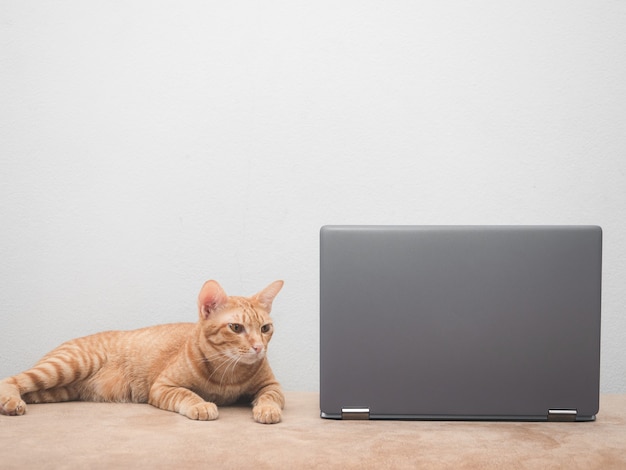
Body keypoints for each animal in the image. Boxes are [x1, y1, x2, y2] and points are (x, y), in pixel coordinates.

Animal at [0, 278, 282, 424]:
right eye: (236, 328)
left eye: (265, 328)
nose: (258, 347)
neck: (228, 374)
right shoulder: (164, 386)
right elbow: (187, 394)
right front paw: (202, 404)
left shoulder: (272, 385)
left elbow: (270, 397)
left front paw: (267, 409)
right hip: (66, 367)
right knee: (12, 379)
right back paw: (11, 402)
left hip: (56, 391)